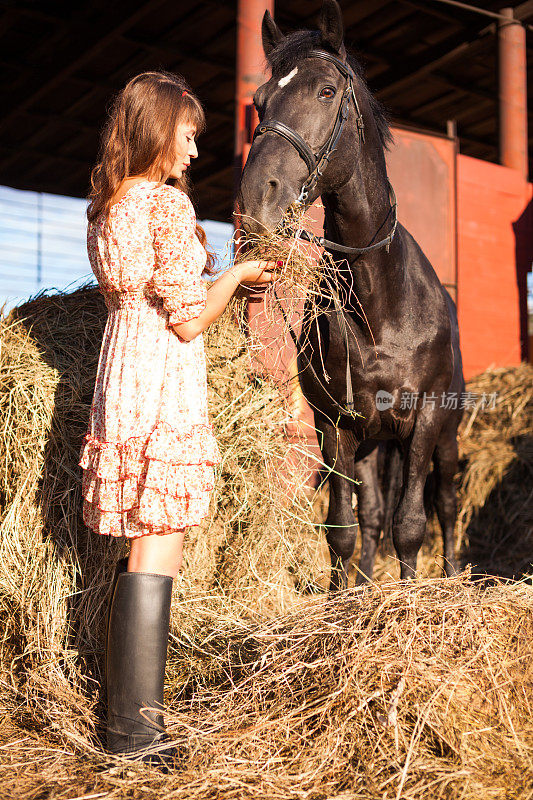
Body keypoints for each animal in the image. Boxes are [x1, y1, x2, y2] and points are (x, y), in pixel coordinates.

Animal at [239, 0, 464, 588]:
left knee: (445, 504)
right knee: (373, 516)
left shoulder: (425, 420)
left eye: (325, 91)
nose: (255, 199)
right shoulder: (335, 424)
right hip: (370, 441)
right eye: (259, 100)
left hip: (444, 437)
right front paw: (346, 598)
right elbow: (344, 527)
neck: (382, 303)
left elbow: (412, 525)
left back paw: (455, 575)